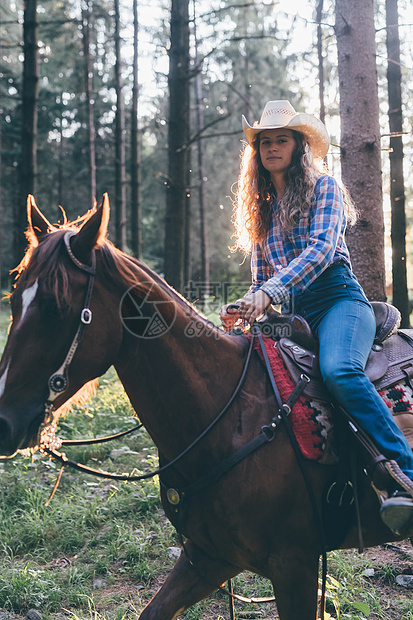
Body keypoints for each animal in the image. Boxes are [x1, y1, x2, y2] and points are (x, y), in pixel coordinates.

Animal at [0, 195, 402, 620]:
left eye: (55, 305)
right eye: (14, 299)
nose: (3, 424)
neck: (227, 417)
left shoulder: (296, 565)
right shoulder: (210, 557)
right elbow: (154, 610)